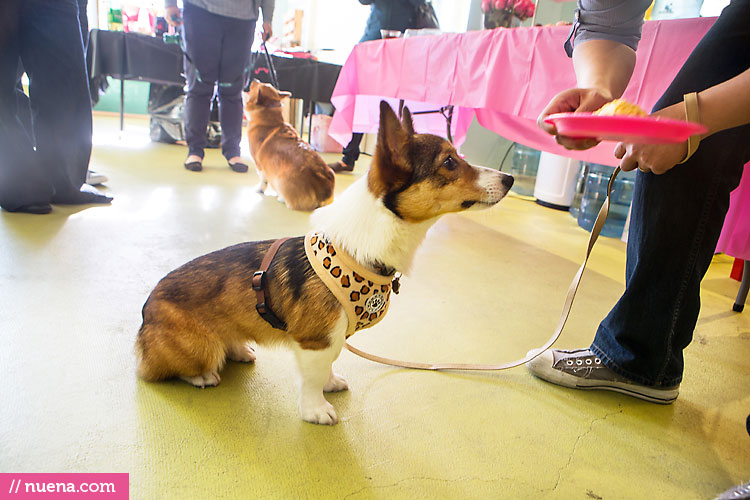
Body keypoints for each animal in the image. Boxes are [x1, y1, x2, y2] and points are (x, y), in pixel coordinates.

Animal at [135, 101, 516, 426]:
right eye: (449, 162)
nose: (510, 179)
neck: (363, 248)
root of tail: (144, 315)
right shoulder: (315, 340)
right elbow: (313, 378)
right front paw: (316, 410)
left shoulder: (332, 339)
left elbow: (329, 366)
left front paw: (331, 383)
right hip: (199, 349)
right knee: (159, 370)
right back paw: (201, 374)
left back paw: (240, 349)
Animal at [244, 79, 334, 211]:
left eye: (259, 85)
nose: (255, 79)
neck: (269, 120)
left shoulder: (259, 164)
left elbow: (262, 180)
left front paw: (259, 190)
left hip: (281, 180)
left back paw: (281, 198)